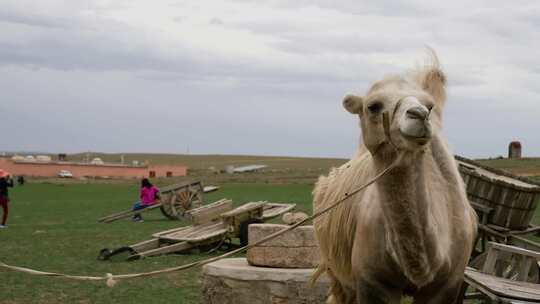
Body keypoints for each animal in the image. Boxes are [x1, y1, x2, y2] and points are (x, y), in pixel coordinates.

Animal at [312, 52, 476, 304]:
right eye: (373, 106)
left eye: (429, 105)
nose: (419, 115)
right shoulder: (372, 281)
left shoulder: (448, 284)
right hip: (337, 270)